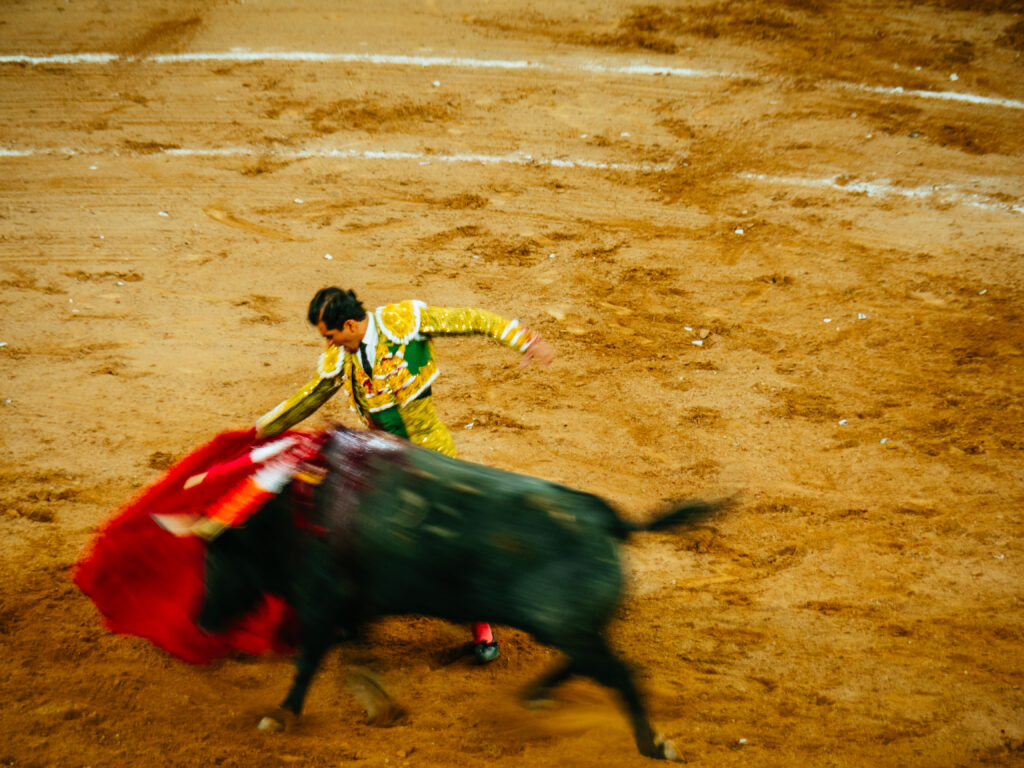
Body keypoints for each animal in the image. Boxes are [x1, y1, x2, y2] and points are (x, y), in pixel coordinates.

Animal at [197, 430, 729, 761]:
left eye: (217, 559)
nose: (201, 619)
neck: (298, 511)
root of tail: (608, 519)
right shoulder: (354, 606)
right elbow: (357, 652)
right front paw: (380, 703)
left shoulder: (321, 601)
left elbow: (310, 660)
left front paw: (282, 716)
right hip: (568, 626)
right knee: (589, 664)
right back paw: (535, 697)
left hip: (563, 622)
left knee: (619, 672)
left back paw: (653, 745)